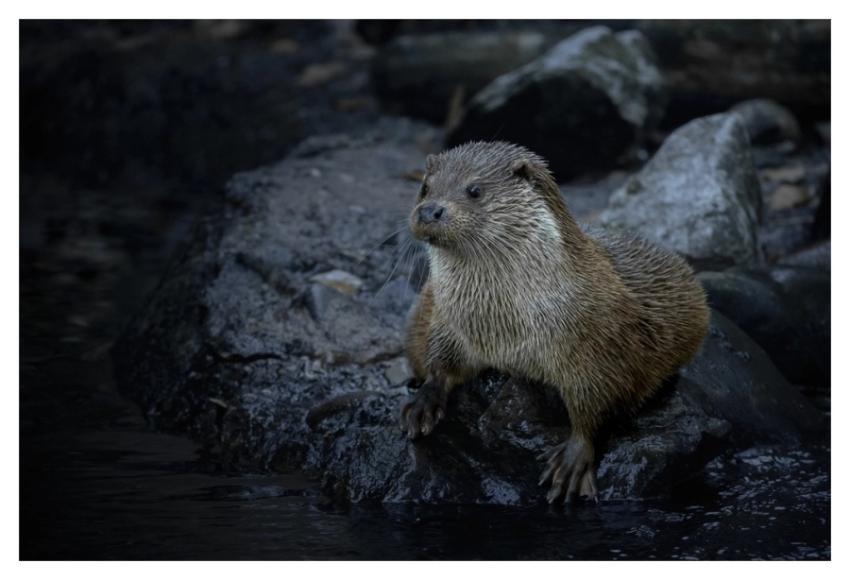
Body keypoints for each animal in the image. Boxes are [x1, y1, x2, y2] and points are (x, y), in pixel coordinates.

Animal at [399, 141, 710, 503]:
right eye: (425, 187)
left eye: (474, 190)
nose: (429, 210)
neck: (502, 326)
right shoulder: (450, 323)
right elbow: (440, 361)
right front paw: (424, 400)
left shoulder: (596, 346)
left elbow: (596, 403)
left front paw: (575, 456)